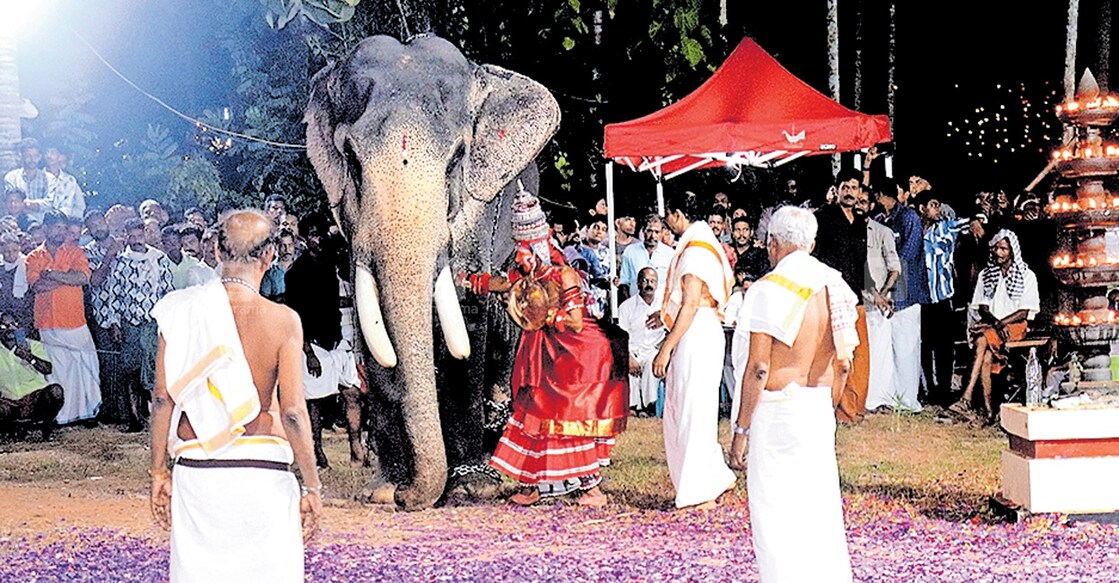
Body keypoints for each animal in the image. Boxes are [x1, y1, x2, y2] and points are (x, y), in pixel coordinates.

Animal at [304, 35, 559, 510]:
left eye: (457, 158)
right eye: (351, 159)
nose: (409, 497)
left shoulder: (479, 209)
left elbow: (469, 315)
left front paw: (470, 488)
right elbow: (373, 330)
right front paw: (384, 490)